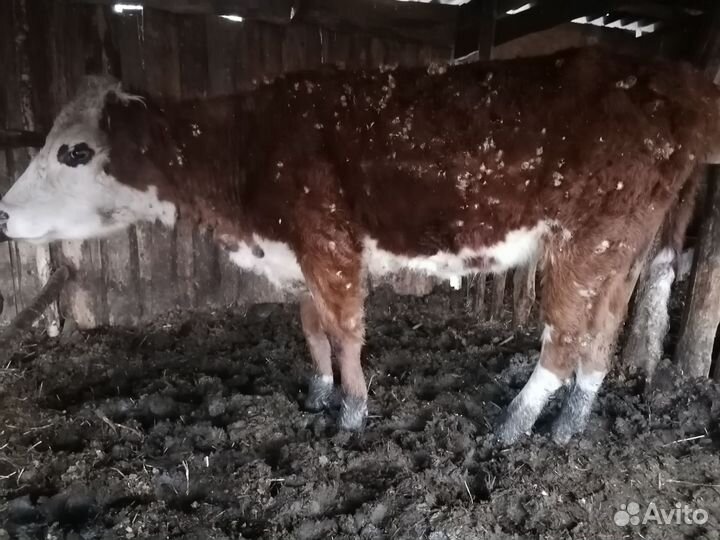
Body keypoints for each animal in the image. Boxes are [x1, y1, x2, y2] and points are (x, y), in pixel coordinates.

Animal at [1, 46, 719, 445]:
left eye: (74, 151)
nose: (4, 213)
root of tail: (674, 82)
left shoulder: (328, 244)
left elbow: (345, 330)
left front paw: (352, 410)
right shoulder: (295, 252)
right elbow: (313, 327)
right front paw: (319, 392)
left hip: (585, 239)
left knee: (565, 334)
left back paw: (516, 423)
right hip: (623, 241)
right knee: (603, 330)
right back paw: (572, 422)